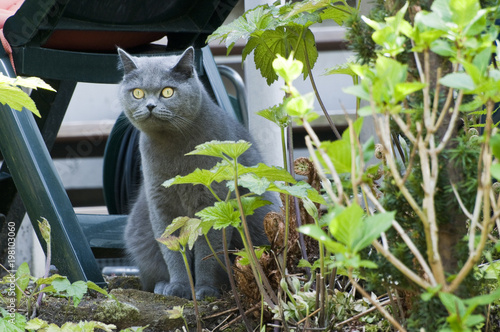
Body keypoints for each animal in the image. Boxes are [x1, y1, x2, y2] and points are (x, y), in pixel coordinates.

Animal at [119, 47, 280, 300]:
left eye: (167, 92)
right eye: (137, 93)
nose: (150, 106)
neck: (174, 147)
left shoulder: (211, 200)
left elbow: (208, 249)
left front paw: (205, 290)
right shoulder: (160, 203)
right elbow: (172, 249)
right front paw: (179, 287)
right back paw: (162, 285)